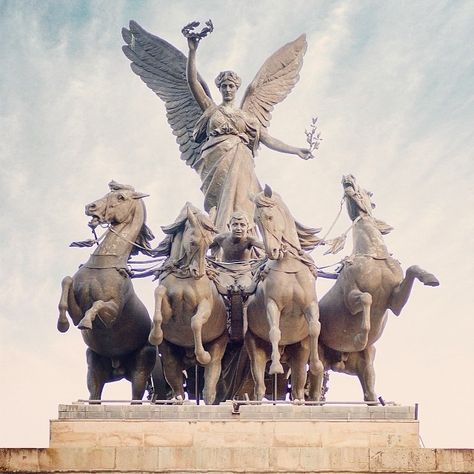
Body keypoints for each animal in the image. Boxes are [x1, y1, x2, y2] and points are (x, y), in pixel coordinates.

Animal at [56, 181, 156, 400]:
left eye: (121, 198)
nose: (90, 207)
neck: (106, 263)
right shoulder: (76, 308)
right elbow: (66, 282)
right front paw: (62, 324)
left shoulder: (111, 314)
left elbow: (99, 305)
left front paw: (86, 322)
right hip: (94, 367)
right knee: (95, 396)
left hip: (141, 369)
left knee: (136, 399)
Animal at [149, 202, 229, 406]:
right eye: (193, 243)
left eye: (210, 243)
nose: (198, 273)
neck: (184, 277)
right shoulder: (167, 304)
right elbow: (159, 297)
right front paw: (155, 334)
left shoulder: (206, 305)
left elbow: (195, 322)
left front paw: (202, 354)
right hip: (170, 356)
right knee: (176, 383)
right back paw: (179, 401)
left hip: (219, 346)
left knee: (210, 385)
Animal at [244, 187, 326, 402]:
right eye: (256, 221)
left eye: (270, 217)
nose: (272, 251)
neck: (289, 265)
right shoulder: (273, 304)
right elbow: (275, 331)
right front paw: (275, 366)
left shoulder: (310, 305)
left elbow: (315, 328)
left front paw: (317, 365)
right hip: (255, 349)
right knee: (259, 387)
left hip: (299, 353)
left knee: (297, 388)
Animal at [316, 176, 438, 402]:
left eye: (368, 192)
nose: (348, 178)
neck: (373, 254)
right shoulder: (350, 296)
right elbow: (366, 298)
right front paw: (359, 337)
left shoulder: (395, 303)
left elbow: (412, 269)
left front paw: (430, 278)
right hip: (318, 356)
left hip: (365, 362)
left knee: (369, 393)